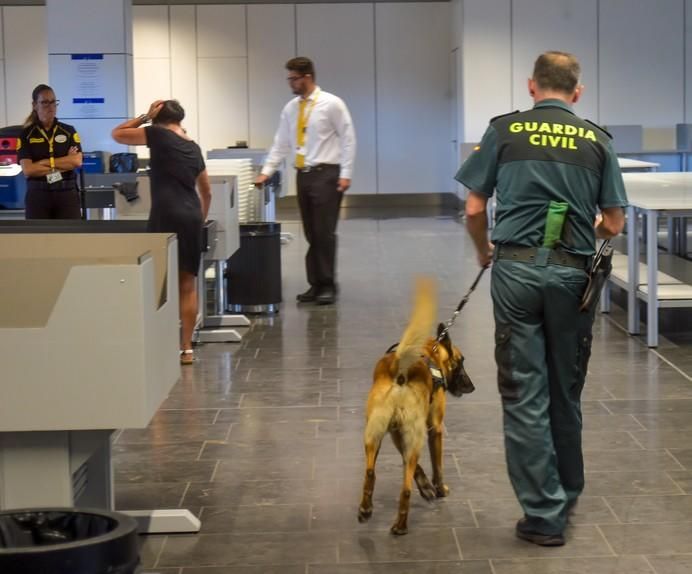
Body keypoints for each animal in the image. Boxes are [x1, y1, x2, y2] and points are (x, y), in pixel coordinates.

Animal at [356, 278, 476, 536]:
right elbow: (437, 466)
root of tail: (400, 370)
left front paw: (427, 487)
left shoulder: (397, 434)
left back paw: (365, 510)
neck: (431, 352)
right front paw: (438, 489)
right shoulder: (434, 429)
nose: (472, 386)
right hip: (412, 436)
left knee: (371, 473)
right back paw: (400, 526)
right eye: (461, 361)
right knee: (405, 489)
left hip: (376, 437)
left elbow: (416, 467)